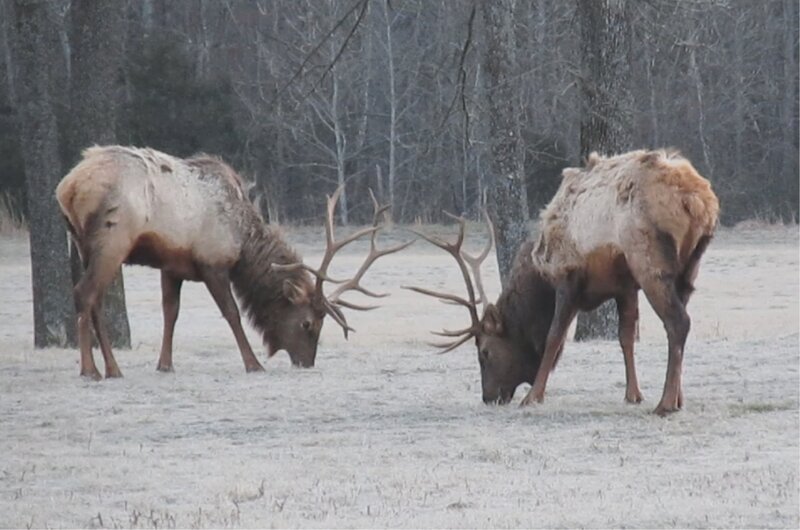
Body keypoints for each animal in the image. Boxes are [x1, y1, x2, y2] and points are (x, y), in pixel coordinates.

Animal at [56, 145, 411, 380]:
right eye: (308, 323)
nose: (306, 362)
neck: (242, 238)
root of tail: (68, 188)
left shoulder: (172, 265)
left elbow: (171, 312)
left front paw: (165, 364)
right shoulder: (212, 262)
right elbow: (232, 313)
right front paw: (254, 363)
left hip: (84, 246)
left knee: (97, 301)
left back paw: (112, 368)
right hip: (112, 240)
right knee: (84, 293)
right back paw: (90, 370)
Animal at [408, 149, 719, 416]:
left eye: (484, 351)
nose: (489, 397)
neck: (539, 274)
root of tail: (697, 200)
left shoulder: (567, 276)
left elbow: (553, 337)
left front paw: (533, 396)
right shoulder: (625, 286)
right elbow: (626, 337)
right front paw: (633, 394)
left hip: (649, 259)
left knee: (678, 321)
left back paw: (665, 404)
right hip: (689, 266)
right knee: (679, 319)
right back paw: (678, 397)